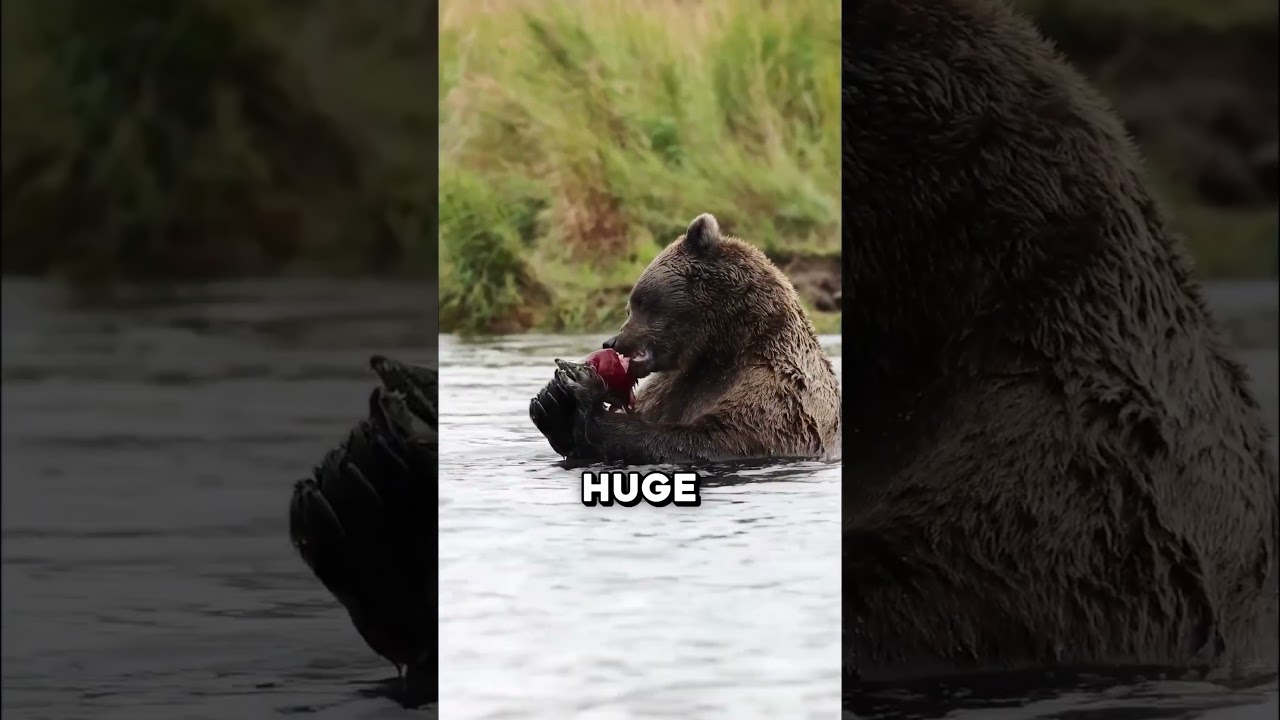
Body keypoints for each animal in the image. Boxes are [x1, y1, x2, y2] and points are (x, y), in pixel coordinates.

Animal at [528, 213, 842, 465]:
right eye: (631, 305)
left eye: (639, 301)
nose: (612, 341)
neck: (727, 347)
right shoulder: (673, 385)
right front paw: (552, 402)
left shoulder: (776, 392)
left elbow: (711, 439)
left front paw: (586, 392)